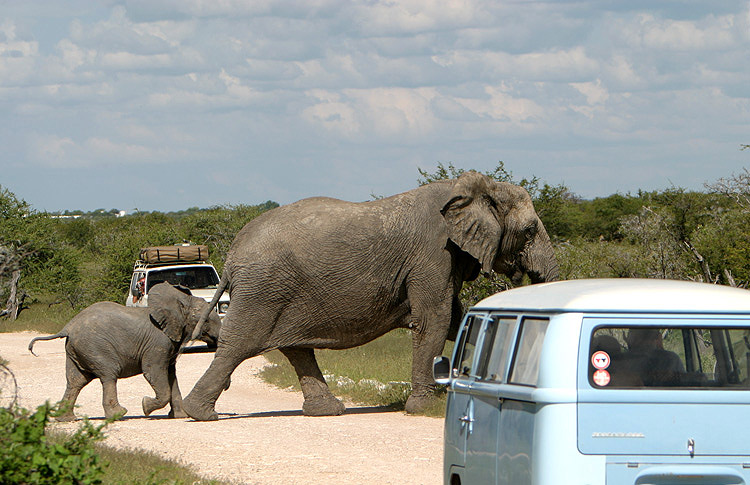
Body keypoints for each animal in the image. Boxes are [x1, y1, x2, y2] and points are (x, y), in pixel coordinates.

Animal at [30, 282, 223, 422]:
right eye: (206, 320)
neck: (180, 303)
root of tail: (68, 327)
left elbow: (171, 375)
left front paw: (179, 416)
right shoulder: (157, 343)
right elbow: (153, 371)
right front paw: (146, 406)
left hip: (76, 349)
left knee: (75, 381)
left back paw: (66, 419)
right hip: (95, 347)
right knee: (108, 375)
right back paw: (119, 415)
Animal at [182, 171, 560, 420]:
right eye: (529, 231)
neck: (471, 189)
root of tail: (231, 256)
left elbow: (454, 318)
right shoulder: (433, 253)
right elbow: (433, 319)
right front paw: (426, 408)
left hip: (282, 290)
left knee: (295, 348)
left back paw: (327, 411)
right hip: (264, 289)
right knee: (239, 345)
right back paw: (200, 414)